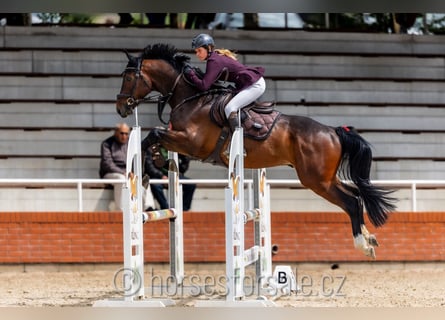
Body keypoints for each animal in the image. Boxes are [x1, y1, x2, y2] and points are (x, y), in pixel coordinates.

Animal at [115, 43, 396, 258]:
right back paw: (369, 238)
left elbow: (153, 134)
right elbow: (156, 140)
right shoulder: (179, 140)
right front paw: (150, 168)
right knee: (356, 197)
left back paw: (362, 244)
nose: (121, 107)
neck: (191, 98)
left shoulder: (191, 143)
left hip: (316, 180)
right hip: (327, 178)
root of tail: (333, 131)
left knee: (351, 202)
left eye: (128, 78)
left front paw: (141, 175)